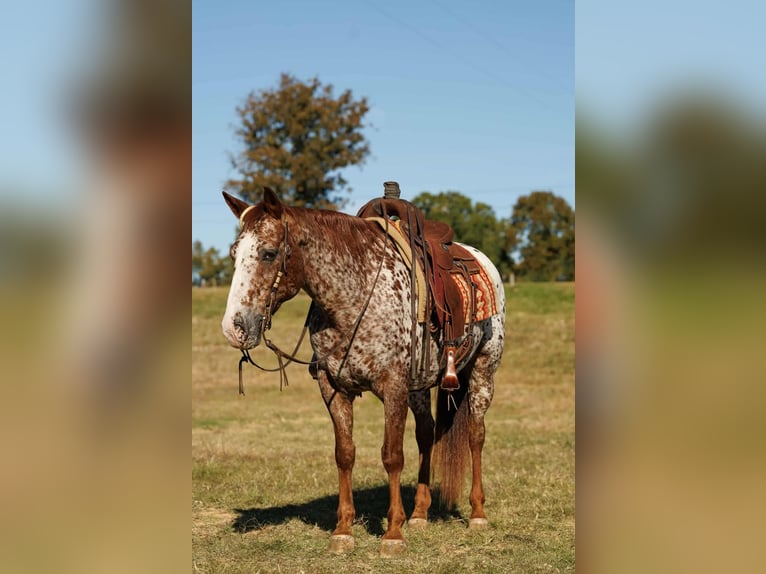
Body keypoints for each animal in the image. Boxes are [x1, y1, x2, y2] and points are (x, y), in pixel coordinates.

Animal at [220, 188, 505, 557]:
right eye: (233, 254)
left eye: (268, 254)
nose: (234, 327)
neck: (354, 298)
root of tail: (479, 259)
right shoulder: (333, 388)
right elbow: (345, 454)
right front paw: (343, 530)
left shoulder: (392, 387)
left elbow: (392, 456)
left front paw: (393, 533)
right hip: (419, 388)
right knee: (426, 434)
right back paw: (420, 513)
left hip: (483, 372)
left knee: (475, 435)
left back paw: (477, 513)